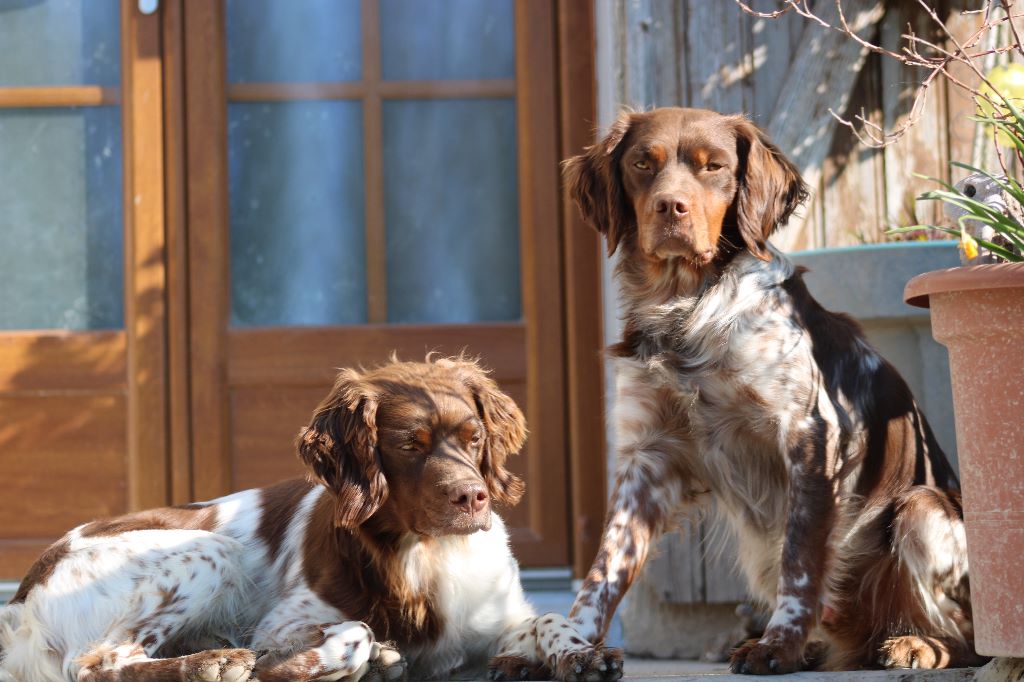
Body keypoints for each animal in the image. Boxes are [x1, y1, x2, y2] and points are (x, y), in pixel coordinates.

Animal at [0, 356, 618, 679]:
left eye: (474, 438)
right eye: (409, 446)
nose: (473, 498)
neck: (425, 556)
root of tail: (23, 597)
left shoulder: (497, 618)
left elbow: (550, 619)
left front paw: (581, 657)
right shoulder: (281, 625)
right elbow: (356, 630)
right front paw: (320, 659)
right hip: (210, 552)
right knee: (98, 662)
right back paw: (213, 663)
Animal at [561, 109, 983, 671]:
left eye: (714, 166)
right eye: (641, 164)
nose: (670, 207)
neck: (689, 311)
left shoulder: (810, 437)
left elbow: (800, 563)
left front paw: (779, 645)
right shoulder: (648, 457)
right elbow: (603, 569)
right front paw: (567, 647)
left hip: (920, 507)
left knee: (968, 635)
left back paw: (915, 644)